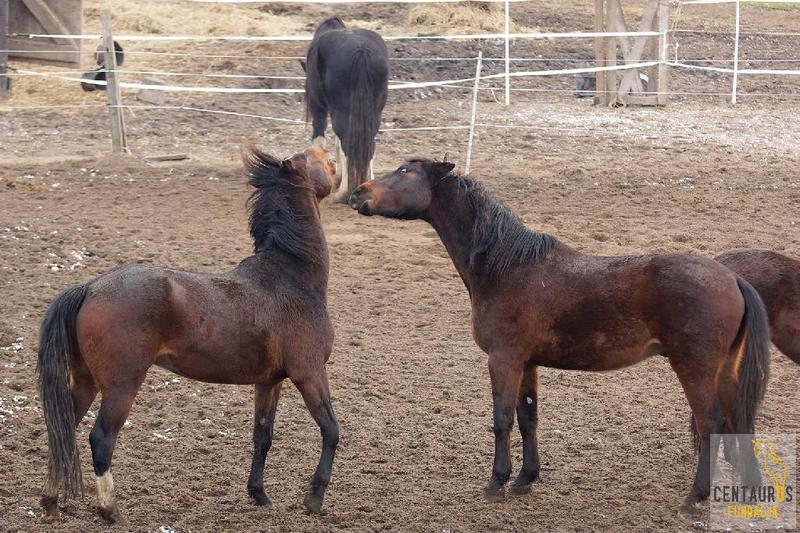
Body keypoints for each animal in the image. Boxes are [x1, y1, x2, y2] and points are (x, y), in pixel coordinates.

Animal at [39, 144, 340, 520]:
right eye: (318, 157)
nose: (334, 158)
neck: (289, 278)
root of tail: (91, 287)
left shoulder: (270, 381)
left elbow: (262, 436)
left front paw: (259, 495)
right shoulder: (309, 373)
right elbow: (330, 431)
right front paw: (314, 500)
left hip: (85, 382)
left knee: (62, 429)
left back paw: (50, 501)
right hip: (121, 388)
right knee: (101, 439)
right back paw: (111, 510)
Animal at [304, 15, 390, 202]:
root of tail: (362, 50)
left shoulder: (318, 107)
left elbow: (319, 140)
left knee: (347, 145)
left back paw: (343, 192)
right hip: (373, 114)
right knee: (368, 144)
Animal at [348, 159, 768, 512]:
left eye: (405, 171)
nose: (358, 193)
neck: (506, 266)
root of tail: (732, 278)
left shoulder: (503, 359)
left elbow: (502, 419)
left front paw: (496, 482)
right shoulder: (526, 363)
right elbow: (527, 417)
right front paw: (524, 478)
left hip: (695, 370)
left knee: (711, 423)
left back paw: (695, 497)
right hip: (725, 372)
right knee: (740, 419)